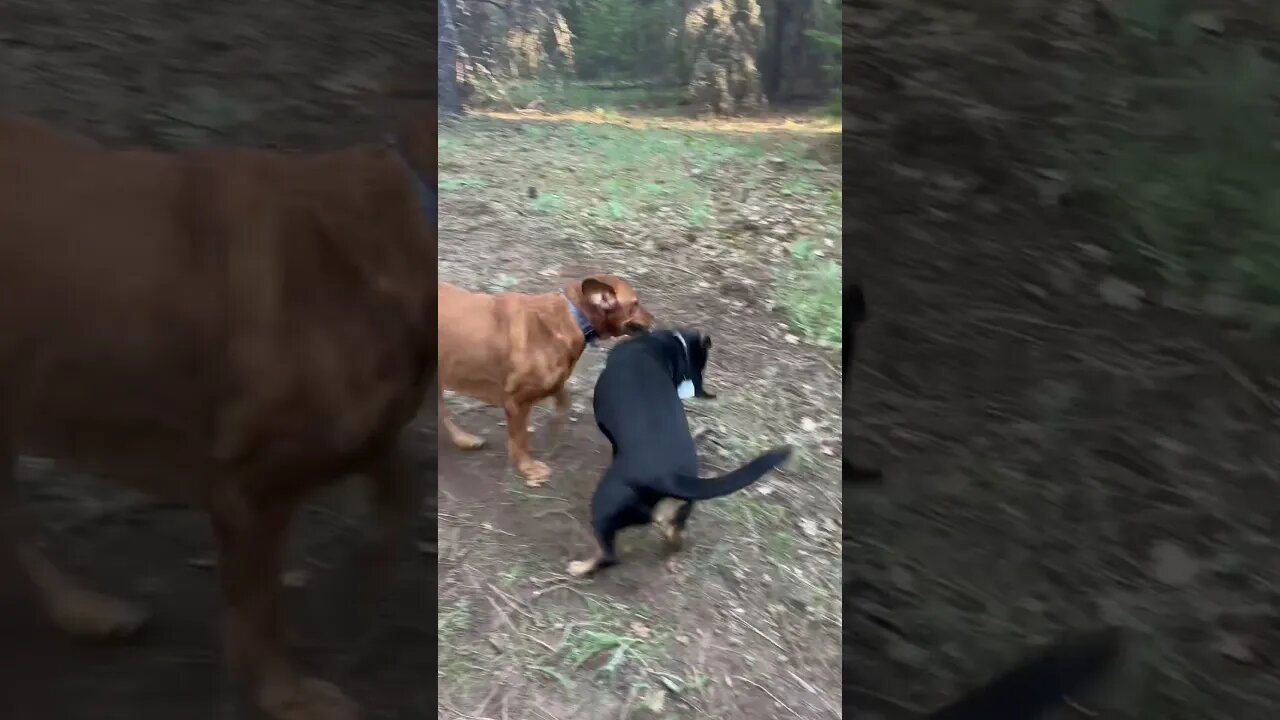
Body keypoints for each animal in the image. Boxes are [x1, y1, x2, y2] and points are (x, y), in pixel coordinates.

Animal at [0, 110, 437, 717]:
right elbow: (259, 605)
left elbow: (395, 493)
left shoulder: (358, 439)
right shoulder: (248, 485)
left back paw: (83, 609)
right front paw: (285, 694)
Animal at [440, 278, 660, 484]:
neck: (575, 316)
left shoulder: (553, 383)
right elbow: (520, 439)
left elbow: (563, 401)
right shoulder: (516, 401)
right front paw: (528, 467)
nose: (654, 318)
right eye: (635, 303)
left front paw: (553, 429)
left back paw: (464, 439)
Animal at [570, 327, 788, 573]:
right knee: (673, 533)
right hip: (677, 512)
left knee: (609, 555)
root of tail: (671, 477)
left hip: (604, 506)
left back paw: (579, 568)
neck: (670, 347)